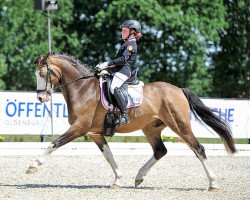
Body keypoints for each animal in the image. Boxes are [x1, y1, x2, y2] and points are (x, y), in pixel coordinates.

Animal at [26, 52, 237, 191]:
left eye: (43, 74)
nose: (41, 98)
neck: (83, 89)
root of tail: (178, 90)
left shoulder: (79, 128)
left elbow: (55, 143)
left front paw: (33, 165)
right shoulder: (95, 133)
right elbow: (109, 155)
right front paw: (118, 180)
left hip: (180, 125)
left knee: (198, 149)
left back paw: (213, 184)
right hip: (151, 129)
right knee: (160, 151)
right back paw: (139, 177)